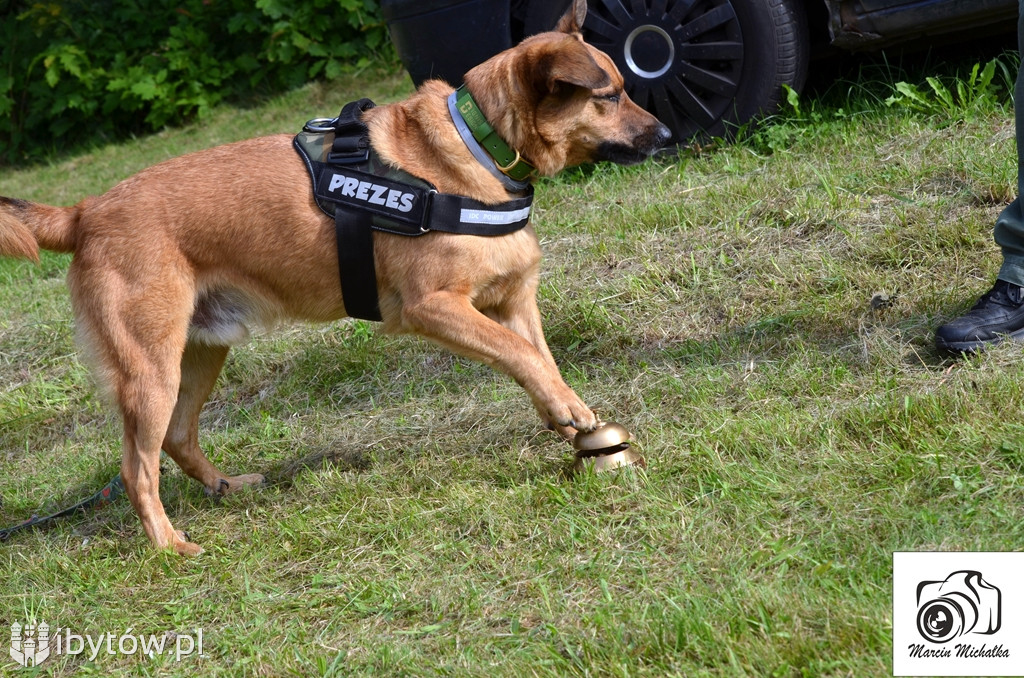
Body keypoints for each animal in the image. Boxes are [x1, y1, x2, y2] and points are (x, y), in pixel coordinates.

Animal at [0, 0, 667, 557]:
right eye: (609, 95)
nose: (663, 134)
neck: (479, 144)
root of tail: (84, 212)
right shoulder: (433, 307)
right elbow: (520, 354)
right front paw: (568, 412)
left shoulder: (513, 301)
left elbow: (538, 358)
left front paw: (565, 411)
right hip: (150, 371)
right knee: (138, 468)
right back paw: (169, 546)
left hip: (198, 354)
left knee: (178, 439)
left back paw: (226, 488)